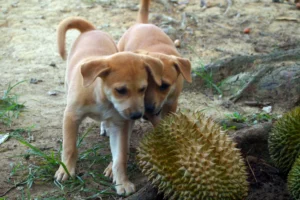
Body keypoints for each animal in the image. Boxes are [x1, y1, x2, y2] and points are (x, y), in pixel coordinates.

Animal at [55, 16, 164, 195]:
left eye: (143, 89)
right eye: (121, 90)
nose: (137, 115)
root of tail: (90, 30)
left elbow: (120, 157)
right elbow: (69, 147)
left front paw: (122, 182)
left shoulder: (119, 125)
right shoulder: (71, 116)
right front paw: (66, 170)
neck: (102, 98)